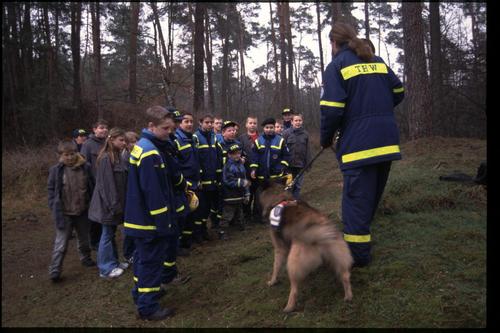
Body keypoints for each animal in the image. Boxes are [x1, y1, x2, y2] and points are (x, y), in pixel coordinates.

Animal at [260, 179, 354, 312]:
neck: (279, 197)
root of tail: (319, 231)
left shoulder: (279, 248)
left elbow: (276, 267)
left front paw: (272, 281)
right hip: (339, 254)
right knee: (345, 275)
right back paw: (348, 296)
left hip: (293, 262)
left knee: (294, 289)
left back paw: (289, 307)